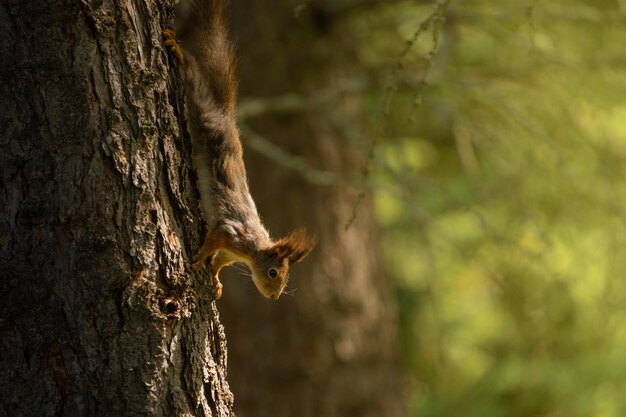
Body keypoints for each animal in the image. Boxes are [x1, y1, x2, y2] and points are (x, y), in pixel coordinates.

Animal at [163, 0, 314, 300]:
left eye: (285, 278)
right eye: (273, 273)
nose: (274, 297)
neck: (252, 251)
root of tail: (226, 117)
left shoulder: (231, 253)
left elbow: (219, 261)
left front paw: (216, 279)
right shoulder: (231, 233)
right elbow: (213, 241)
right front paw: (200, 259)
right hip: (202, 115)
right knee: (194, 79)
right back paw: (178, 53)